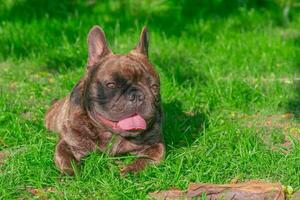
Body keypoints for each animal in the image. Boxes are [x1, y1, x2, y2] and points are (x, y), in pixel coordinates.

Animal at [45, 26, 164, 175]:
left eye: (154, 87)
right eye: (111, 85)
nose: (137, 95)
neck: (111, 133)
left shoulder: (156, 145)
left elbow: (146, 159)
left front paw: (130, 170)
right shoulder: (68, 143)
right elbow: (66, 159)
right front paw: (72, 173)